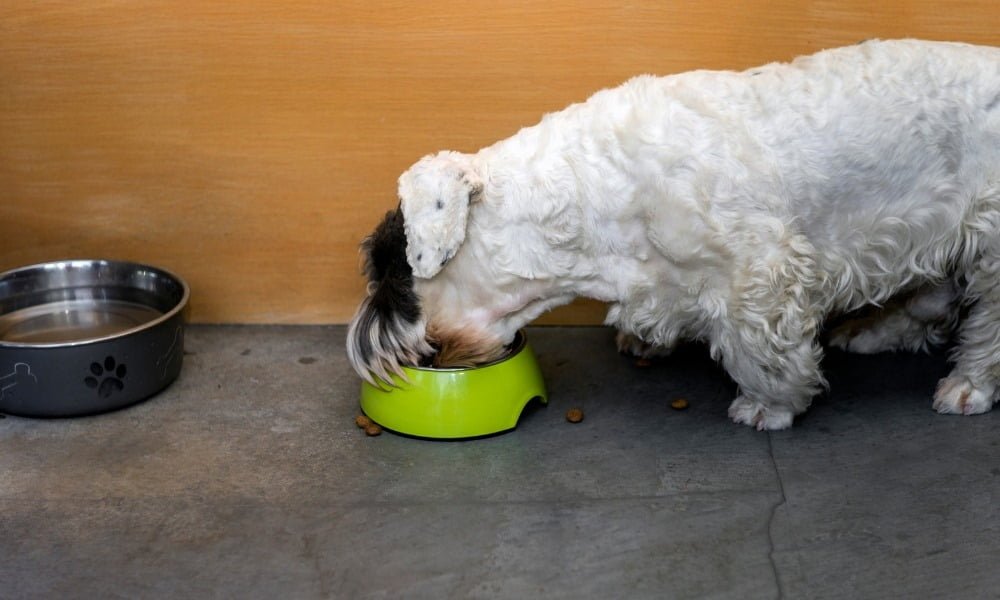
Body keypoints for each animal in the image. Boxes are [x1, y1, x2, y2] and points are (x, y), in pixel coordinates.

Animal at [346, 39, 1000, 428]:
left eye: (391, 279)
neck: (590, 193)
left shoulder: (760, 274)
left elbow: (764, 351)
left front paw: (770, 404)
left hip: (992, 250)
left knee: (984, 327)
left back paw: (966, 386)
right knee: (933, 299)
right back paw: (873, 331)